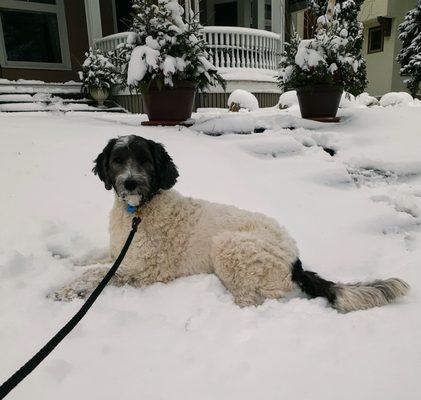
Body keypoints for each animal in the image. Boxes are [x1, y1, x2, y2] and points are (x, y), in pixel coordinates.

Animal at [53, 134, 410, 312]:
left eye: (144, 160)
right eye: (117, 161)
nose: (129, 182)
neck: (139, 213)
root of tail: (295, 258)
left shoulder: (142, 269)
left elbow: (93, 275)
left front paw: (61, 290)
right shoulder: (119, 253)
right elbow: (92, 260)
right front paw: (64, 260)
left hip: (228, 246)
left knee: (253, 301)